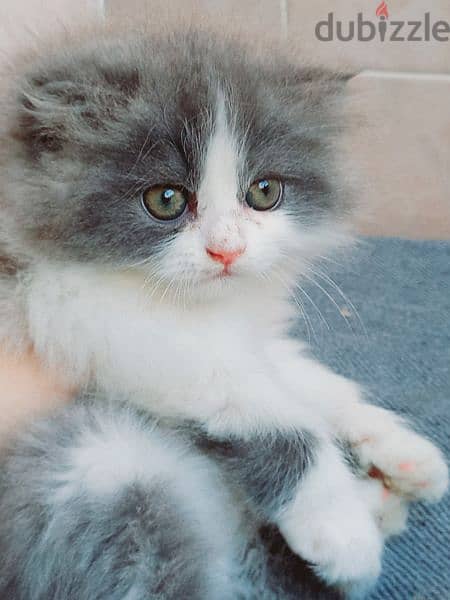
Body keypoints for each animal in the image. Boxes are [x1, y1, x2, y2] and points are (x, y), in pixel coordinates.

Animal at [0, 25, 446, 596]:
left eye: (264, 192)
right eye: (165, 199)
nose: (226, 250)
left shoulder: (243, 332)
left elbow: (311, 382)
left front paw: (400, 447)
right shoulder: (91, 315)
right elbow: (277, 418)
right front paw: (340, 529)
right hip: (102, 465)